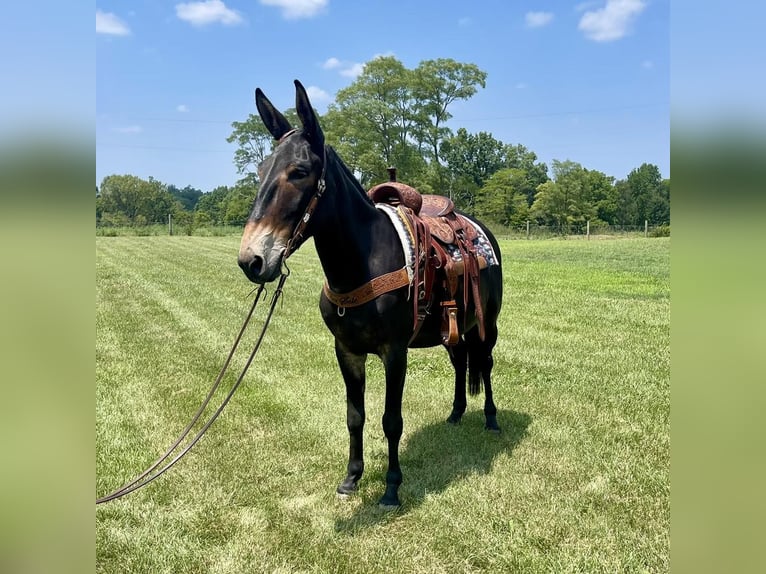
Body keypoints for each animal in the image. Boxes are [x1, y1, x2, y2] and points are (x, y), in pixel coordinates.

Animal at [238, 80, 503, 508]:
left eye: (299, 171)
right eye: (261, 170)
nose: (252, 260)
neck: (363, 261)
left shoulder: (394, 352)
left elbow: (391, 420)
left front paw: (392, 487)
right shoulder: (347, 351)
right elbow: (355, 416)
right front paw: (352, 477)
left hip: (487, 323)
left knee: (486, 363)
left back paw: (491, 419)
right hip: (452, 328)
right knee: (461, 361)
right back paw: (456, 413)